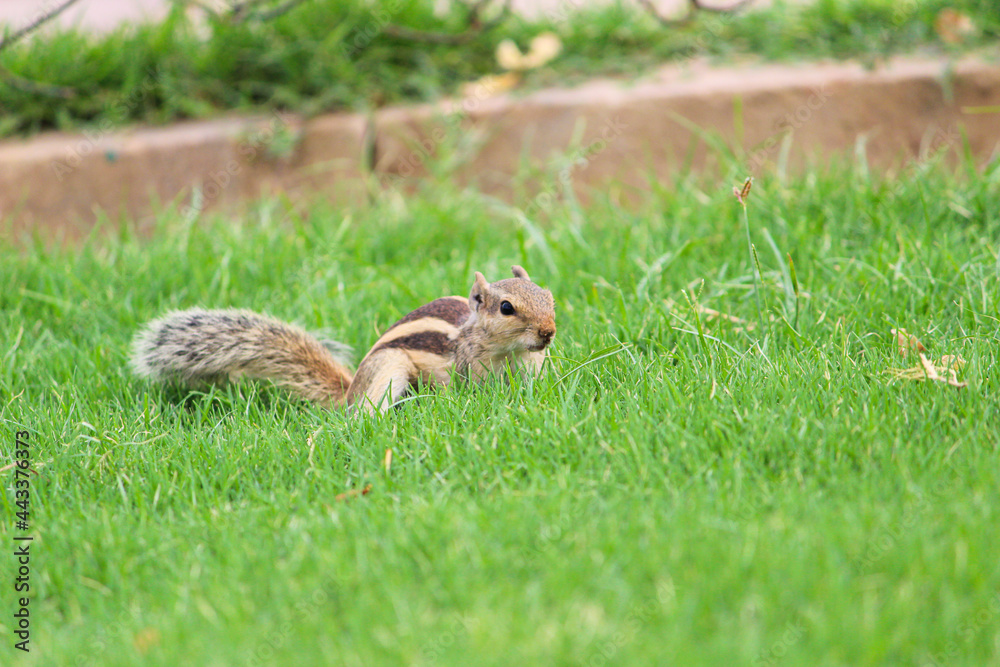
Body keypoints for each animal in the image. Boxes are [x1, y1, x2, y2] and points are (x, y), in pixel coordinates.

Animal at [130, 266, 556, 414]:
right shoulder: (469, 368)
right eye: (506, 308)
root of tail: (349, 391)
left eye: (549, 297)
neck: (511, 354)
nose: (548, 332)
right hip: (388, 370)